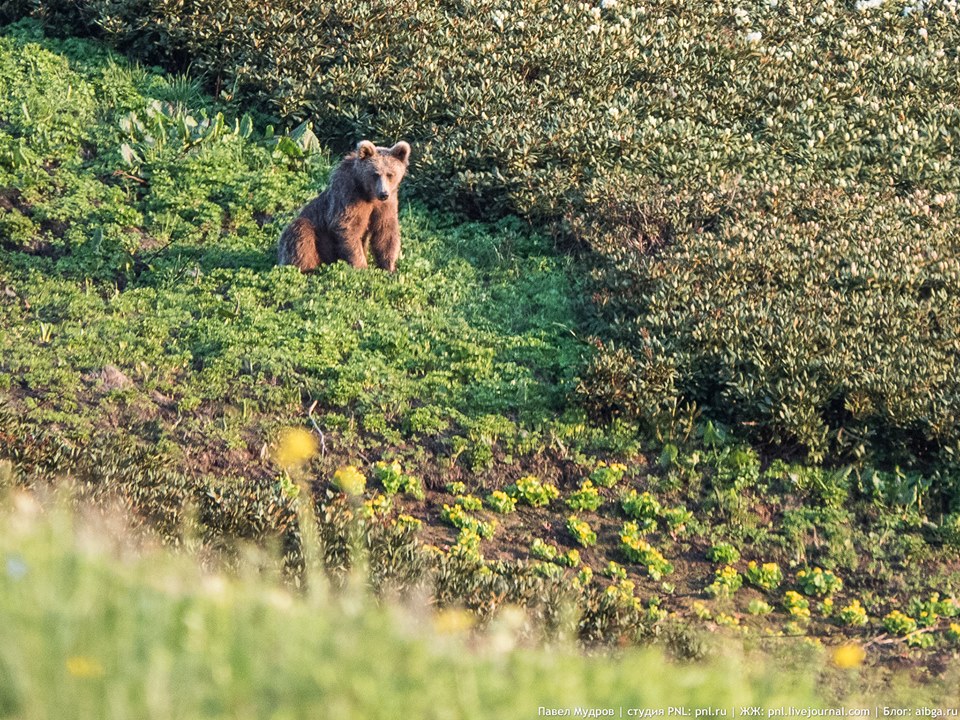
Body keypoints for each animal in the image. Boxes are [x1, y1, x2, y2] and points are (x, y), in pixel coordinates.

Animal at [278, 140, 412, 272]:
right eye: (375, 174)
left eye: (390, 174)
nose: (383, 194)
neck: (368, 193)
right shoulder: (348, 194)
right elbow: (347, 226)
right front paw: (361, 267)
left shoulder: (386, 204)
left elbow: (385, 231)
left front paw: (389, 267)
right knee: (301, 233)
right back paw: (308, 269)